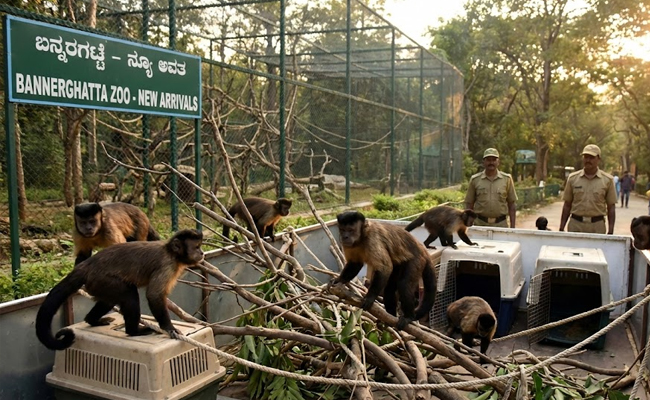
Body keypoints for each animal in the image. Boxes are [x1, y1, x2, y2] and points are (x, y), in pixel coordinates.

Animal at [35, 229, 204, 351]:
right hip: (102, 279)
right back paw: (133, 331)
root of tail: (87, 265)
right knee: (129, 294)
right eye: (196, 247)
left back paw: (93, 320)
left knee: (109, 300)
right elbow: (154, 295)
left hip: (97, 284)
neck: (172, 254)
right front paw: (169, 328)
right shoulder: (167, 265)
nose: (202, 253)